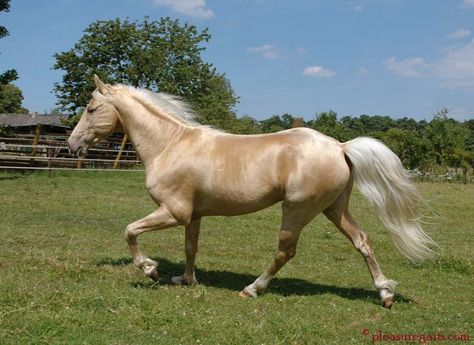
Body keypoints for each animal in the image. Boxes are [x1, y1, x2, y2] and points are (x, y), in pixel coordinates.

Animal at [68, 75, 436, 306]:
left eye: (91, 109)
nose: (72, 145)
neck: (170, 145)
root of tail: (340, 146)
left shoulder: (173, 212)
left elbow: (130, 231)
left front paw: (150, 269)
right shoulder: (193, 215)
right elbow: (190, 248)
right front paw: (185, 280)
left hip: (297, 210)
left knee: (285, 252)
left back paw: (251, 289)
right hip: (334, 208)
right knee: (362, 241)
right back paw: (385, 294)